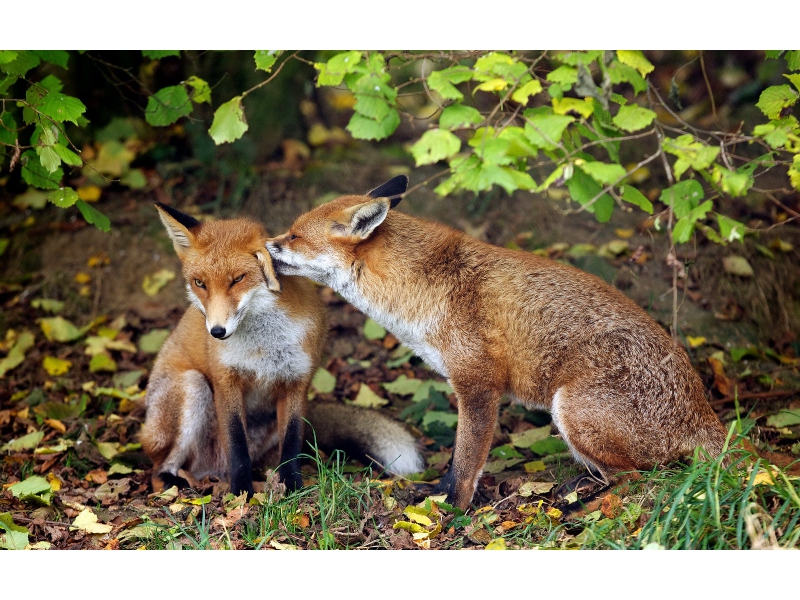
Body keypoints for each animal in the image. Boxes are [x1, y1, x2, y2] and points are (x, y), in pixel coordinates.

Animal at [138, 202, 424, 496]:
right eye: (199, 283)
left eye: (237, 279)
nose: (217, 332)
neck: (264, 348)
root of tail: (210, 471)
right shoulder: (226, 381)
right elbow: (236, 446)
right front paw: (241, 492)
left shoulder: (296, 381)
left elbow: (291, 443)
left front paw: (292, 486)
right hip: (192, 387)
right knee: (159, 468)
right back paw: (174, 483)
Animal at [264, 175, 792, 510]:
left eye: (293, 236)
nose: (265, 245)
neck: (425, 289)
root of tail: (704, 411)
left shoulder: (479, 384)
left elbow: (466, 461)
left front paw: (448, 509)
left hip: (571, 408)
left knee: (644, 476)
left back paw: (580, 502)